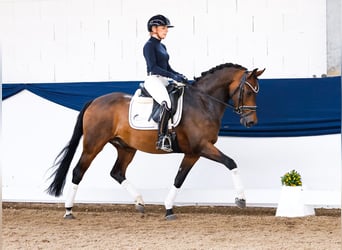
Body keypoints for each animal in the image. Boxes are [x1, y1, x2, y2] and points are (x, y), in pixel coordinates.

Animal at [46, 62, 266, 219]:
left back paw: (140, 202)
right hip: (93, 145)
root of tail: (95, 101)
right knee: (78, 171)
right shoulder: (202, 147)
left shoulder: (193, 152)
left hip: (126, 148)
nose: (251, 122)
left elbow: (179, 179)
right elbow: (231, 163)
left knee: (117, 172)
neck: (203, 102)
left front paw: (168, 209)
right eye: (247, 91)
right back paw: (68, 210)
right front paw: (241, 199)